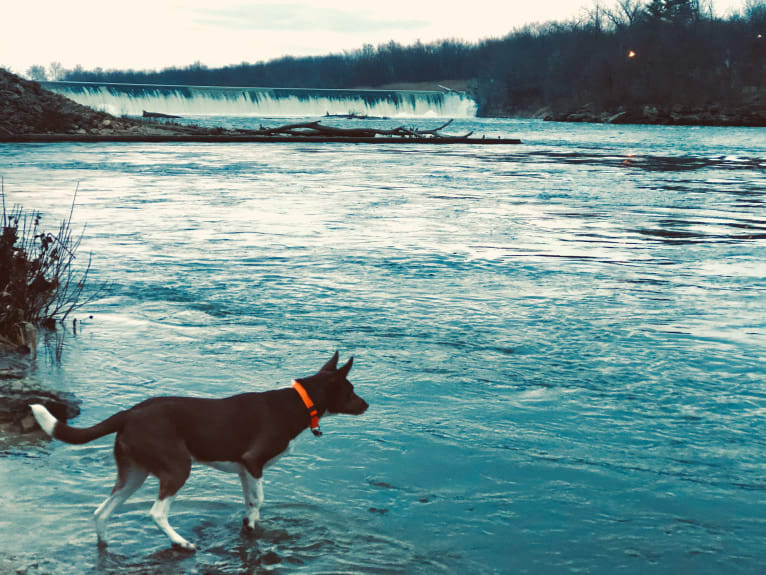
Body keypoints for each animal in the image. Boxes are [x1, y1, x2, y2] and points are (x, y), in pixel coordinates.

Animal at [28, 354, 368, 552]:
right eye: (351, 391)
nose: (367, 405)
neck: (298, 403)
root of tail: (129, 414)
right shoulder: (253, 462)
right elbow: (259, 499)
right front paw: (252, 526)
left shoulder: (244, 469)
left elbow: (251, 503)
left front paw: (249, 525)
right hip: (178, 468)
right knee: (157, 512)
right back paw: (181, 543)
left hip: (133, 474)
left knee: (101, 512)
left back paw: (104, 543)